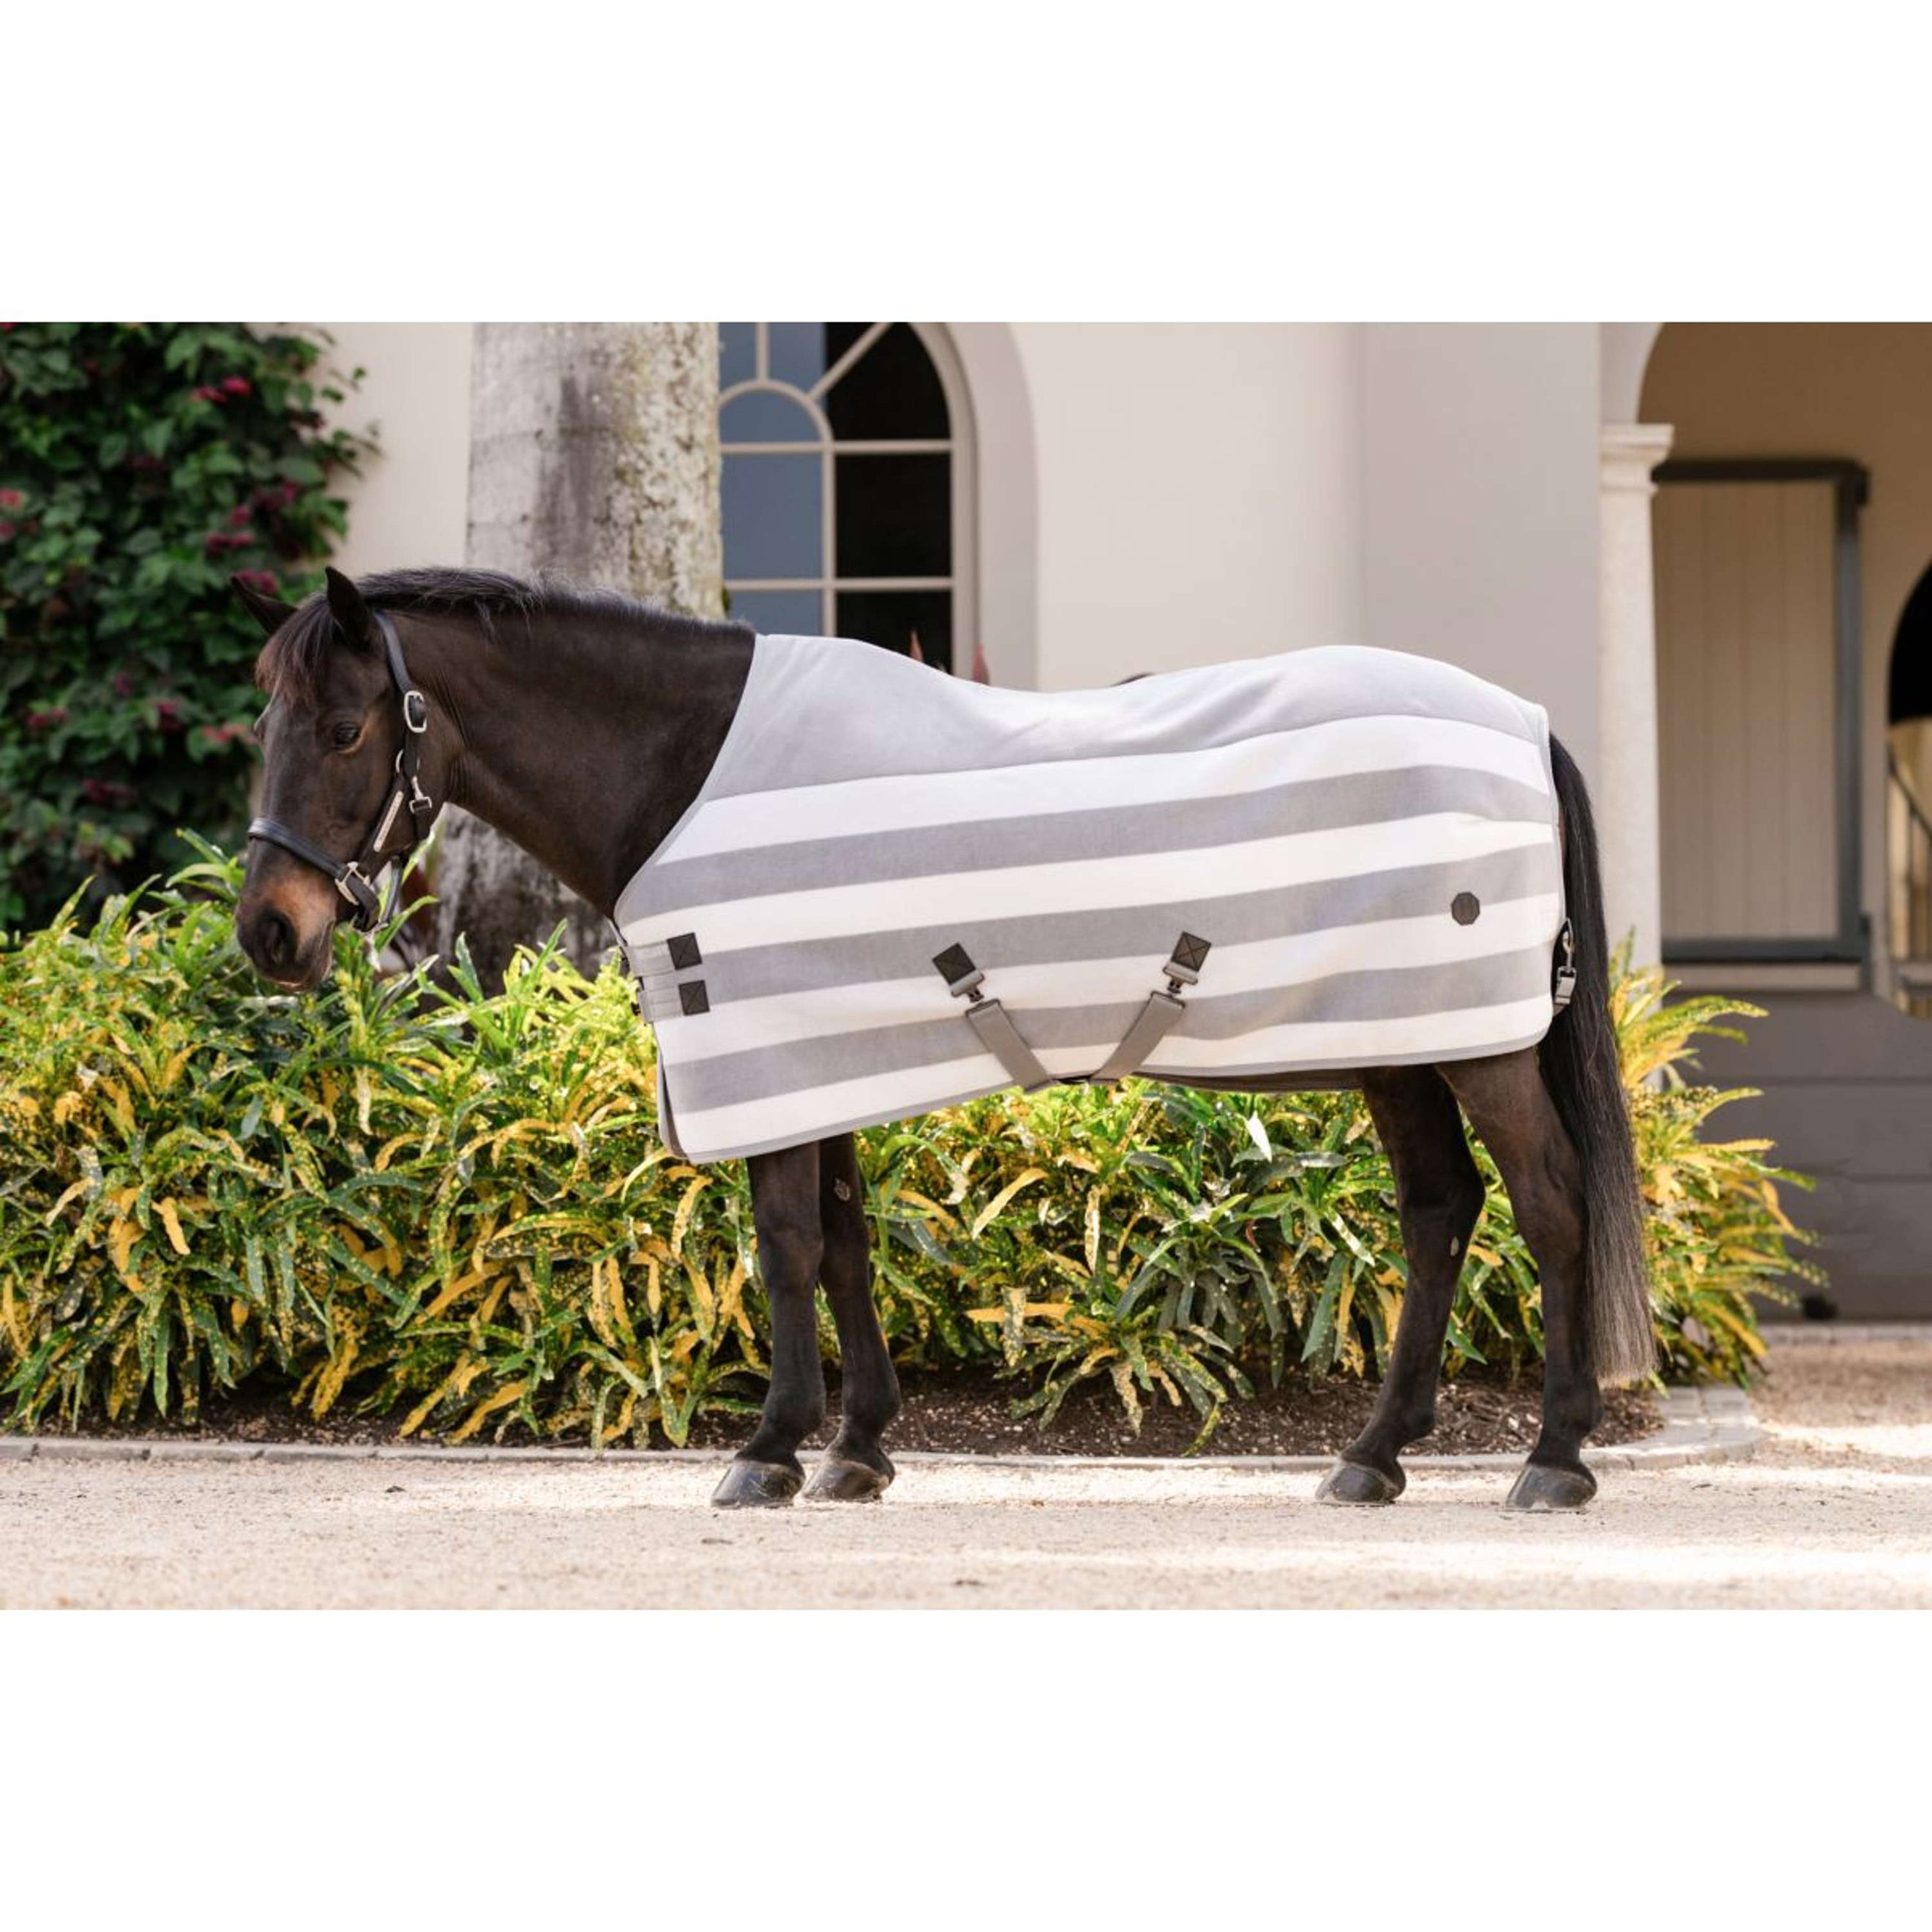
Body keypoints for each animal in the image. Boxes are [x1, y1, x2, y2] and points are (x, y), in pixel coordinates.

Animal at [232, 565, 1653, 1512]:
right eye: (266, 726)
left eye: (346, 729)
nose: (270, 934)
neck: (687, 771)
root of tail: (1525, 721)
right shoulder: (826, 1061)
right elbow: (846, 1243)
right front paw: (857, 1449)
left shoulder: (771, 1051)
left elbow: (788, 1248)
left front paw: (769, 1452)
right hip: (1403, 1038)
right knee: (1441, 1211)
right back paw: (1373, 1458)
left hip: (1474, 1045)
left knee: (1549, 1202)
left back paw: (1554, 1459)